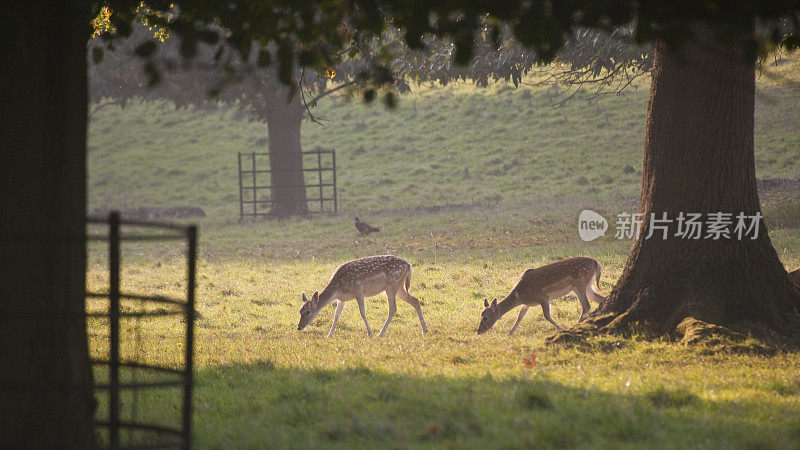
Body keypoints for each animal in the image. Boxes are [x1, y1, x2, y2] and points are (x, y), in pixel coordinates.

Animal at [296, 253, 428, 338]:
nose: (299, 327)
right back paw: (424, 330)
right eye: (299, 311)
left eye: (308, 312)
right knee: (415, 300)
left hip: (392, 284)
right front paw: (329, 335)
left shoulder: (358, 290)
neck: (338, 287)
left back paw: (380, 333)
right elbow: (336, 316)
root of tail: (409, 265)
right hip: (399, 287)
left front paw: (370, 333)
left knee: (393, 308)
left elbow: (362, 312)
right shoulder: (341, 299)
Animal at [476, 256, 608, 334]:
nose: (478, 331)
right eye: (480, 316)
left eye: (485, 317)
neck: (521, 295)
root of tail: (596, 262)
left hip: (580, 284)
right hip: (588, 286)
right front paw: (509, 333)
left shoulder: (543, 297)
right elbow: (520, 316)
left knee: (586, 306)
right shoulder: (527, 304)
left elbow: (546, 316)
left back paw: (576, 325)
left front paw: (561, 328)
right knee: (602, 299)